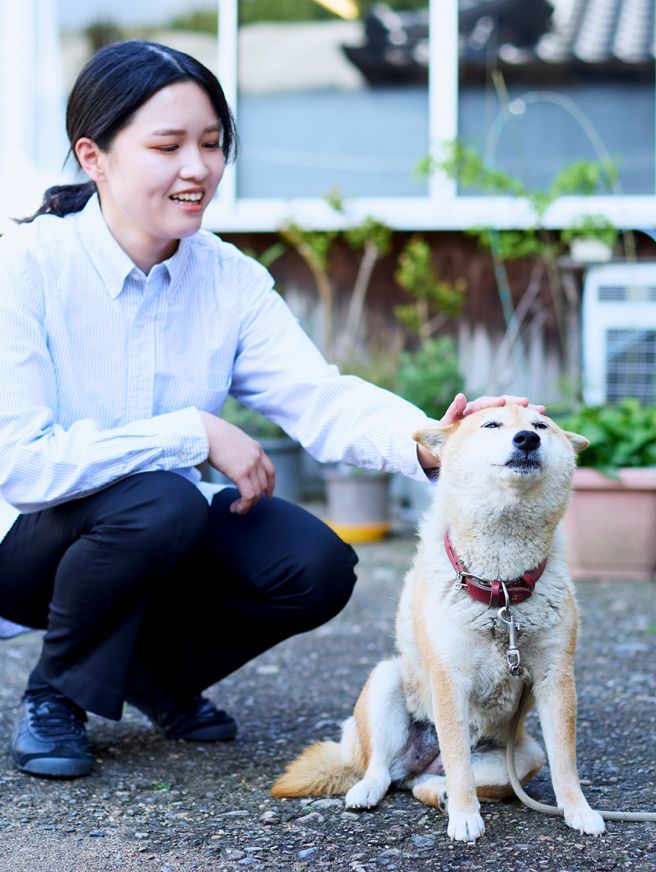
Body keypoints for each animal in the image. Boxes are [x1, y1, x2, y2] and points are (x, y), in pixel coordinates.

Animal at [270, 406, 604, 840]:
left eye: (541, 426)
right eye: (492, 425)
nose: (527, 439)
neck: (502, 591)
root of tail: (422, 762)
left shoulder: (555, 677)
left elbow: (565, 761)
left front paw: (578, 810)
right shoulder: (450, 677)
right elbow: (458, 762)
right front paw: (464, 817)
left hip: (524, 757)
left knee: (425, 784)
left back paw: (438, 792)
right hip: (387, 682)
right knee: (384, 768)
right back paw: (370, 791)